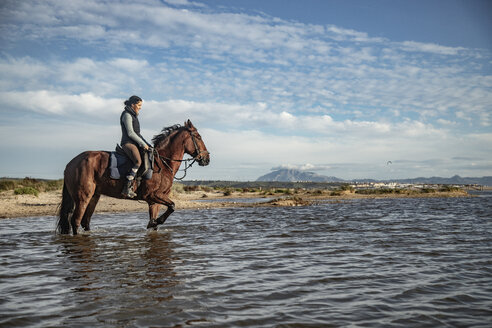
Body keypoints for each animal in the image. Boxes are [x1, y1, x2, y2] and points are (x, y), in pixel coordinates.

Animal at [57, 119, 209, 234]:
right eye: (198, 137)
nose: (207, 159)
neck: (162, 164)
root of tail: (70, 163)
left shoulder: (154, 201)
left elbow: (155, 221)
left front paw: (154, 223)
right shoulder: (151, 195)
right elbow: (172, 205)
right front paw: (158, 221)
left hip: (94, 196)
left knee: (85, 221)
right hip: (83, 197)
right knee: (76, 221)